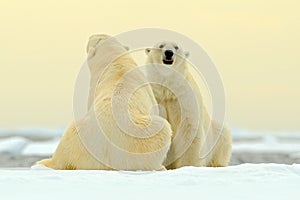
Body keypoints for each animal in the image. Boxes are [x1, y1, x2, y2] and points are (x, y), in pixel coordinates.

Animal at [145, 41, 232, 169]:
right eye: (161, 46)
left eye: (176, 47)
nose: (169, 52)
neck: (167, 91)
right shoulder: (156, 96)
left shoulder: (184, 97)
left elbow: (188, 128)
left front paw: (189, 165)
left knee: (222, 133)